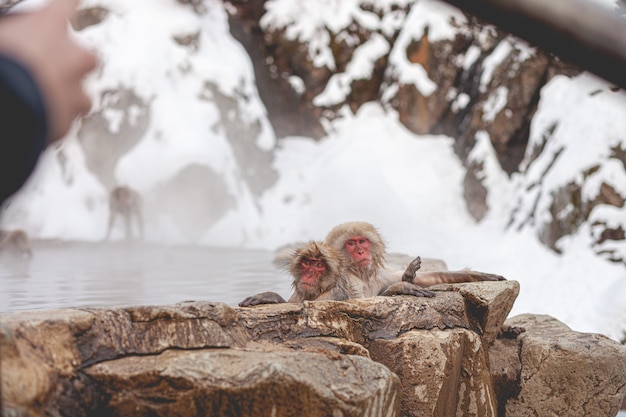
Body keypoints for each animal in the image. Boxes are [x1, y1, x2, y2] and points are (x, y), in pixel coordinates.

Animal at [324, 219, 504, 294]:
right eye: (351, 243)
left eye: (362, 241)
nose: (360, 251)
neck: (361, 274)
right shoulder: (347, 281)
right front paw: (402, 287)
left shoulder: (382, 275)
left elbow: (425, 278)